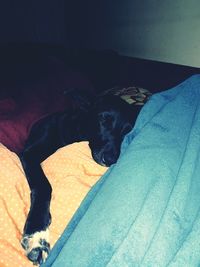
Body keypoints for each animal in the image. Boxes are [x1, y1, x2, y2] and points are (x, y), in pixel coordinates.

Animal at [19, 91, 141, 266]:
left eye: (127, 130)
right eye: (103, 119)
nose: (111, 159)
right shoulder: (29, 154)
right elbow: (44, 186)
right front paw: (37, 235)